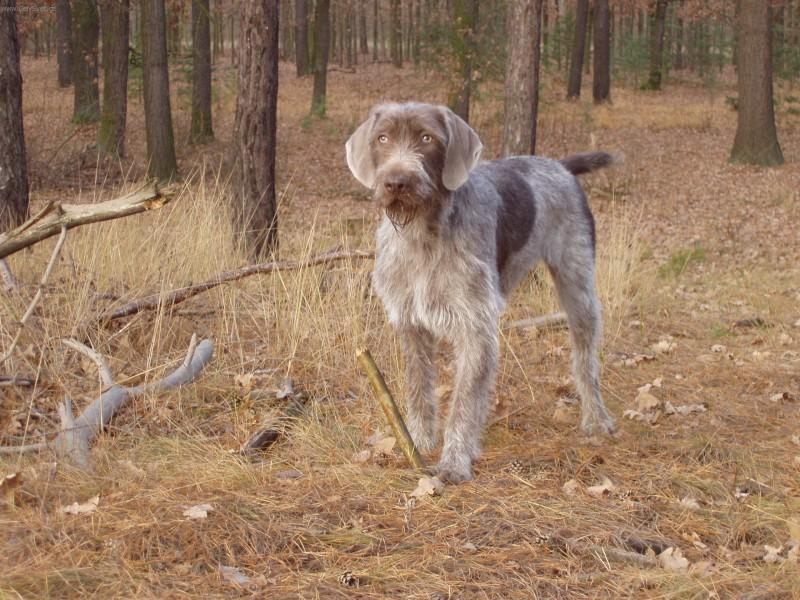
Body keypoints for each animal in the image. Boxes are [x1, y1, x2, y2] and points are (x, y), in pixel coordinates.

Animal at [346, 99, 616, 482]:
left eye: (427, 138)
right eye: (382, 138)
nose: (396, 182)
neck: (422, 234)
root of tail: (560, 166)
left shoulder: (474, 325)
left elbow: (463, 401)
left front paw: (454, 461)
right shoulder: (411, 322)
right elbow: (419, 387)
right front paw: (418, 440)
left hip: (577, 288)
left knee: (585, 359)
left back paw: (595, 417)